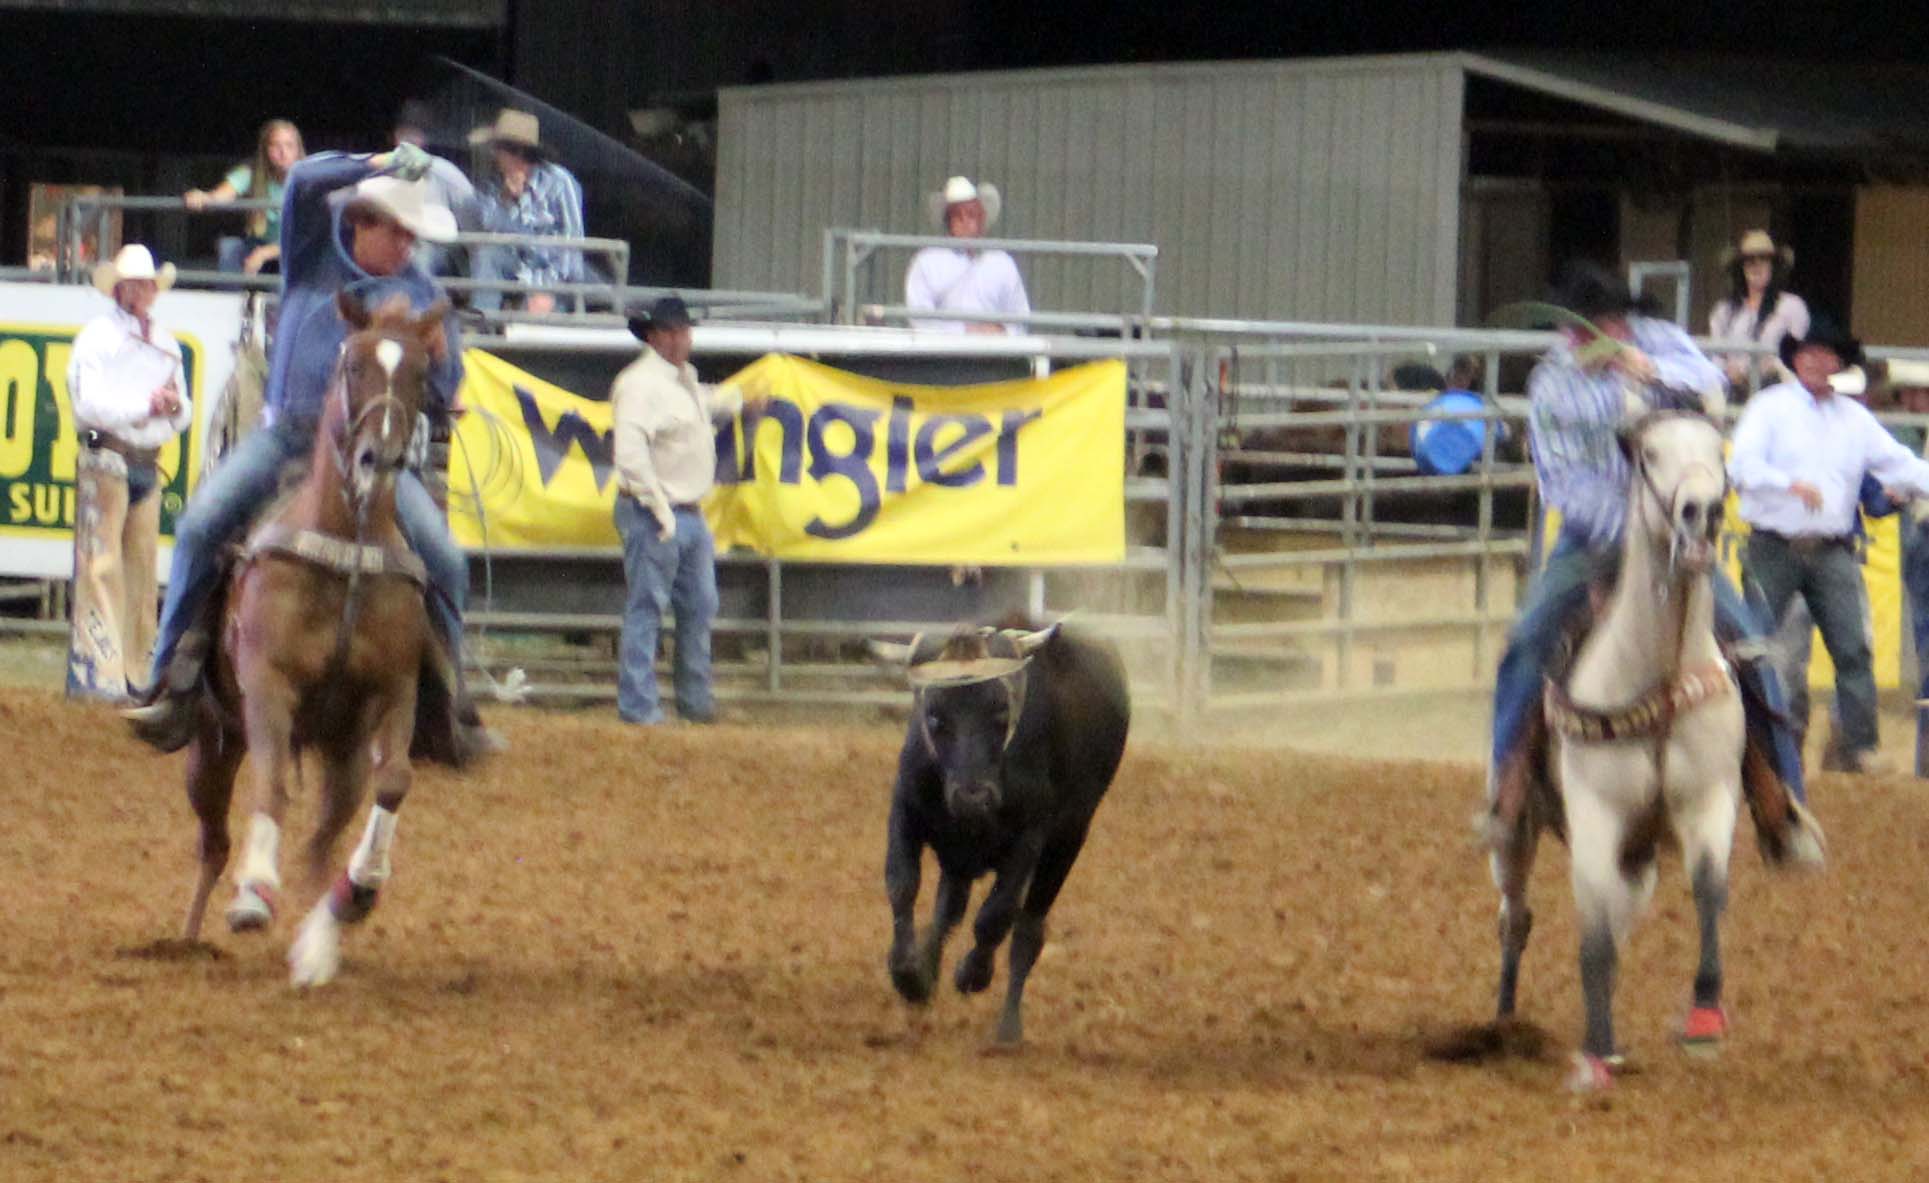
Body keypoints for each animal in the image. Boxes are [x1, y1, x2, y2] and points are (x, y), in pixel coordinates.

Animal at [177, 292, 447, 989]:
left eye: (419, 373)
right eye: (352, 365)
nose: (379, 459)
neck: (346, 549)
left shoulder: (395, 690)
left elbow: (395, 781)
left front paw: (363, 888)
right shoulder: (269, 685)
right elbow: (272, 783)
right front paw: (253, 895)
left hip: (341, 754)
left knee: (322, 843)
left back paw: (321, 938)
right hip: (213, 740)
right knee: (212, 838)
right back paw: (187, 938)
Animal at [868, 622, 1130, 1046]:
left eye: (1000, 712)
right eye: (935, 716)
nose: (973, 797)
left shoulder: (1030, 837)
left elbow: (996, 915)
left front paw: (972, 973)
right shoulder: (905, 811)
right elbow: (902, 885)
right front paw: (908, 974)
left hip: (1066, 842)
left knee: (1027, 931)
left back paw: (1008, 1028)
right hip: (959, 855)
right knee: (948, 910)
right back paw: (927, 970)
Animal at [1489, 409, 1765, 1091]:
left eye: (1717, 452)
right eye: (1648, 454)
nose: (1702, 512)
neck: (1658, 675)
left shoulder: (1709, 799)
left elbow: (1708, 891)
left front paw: (1704, 1019)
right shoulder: (1596, 814)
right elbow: (1590, 938)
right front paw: (1594, 1057)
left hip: (1637, 858)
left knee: (1615, 926)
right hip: (1518, 831)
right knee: (1517, 917)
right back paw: (1507, 1026)